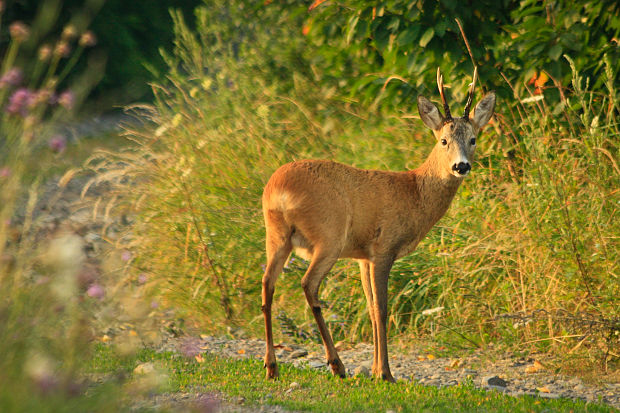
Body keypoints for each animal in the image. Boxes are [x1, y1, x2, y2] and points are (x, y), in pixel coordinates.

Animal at [260, 67, 496, 380]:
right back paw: (336, 365)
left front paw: (374, 369)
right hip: (329, 234)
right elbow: (383, 309)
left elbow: (371, 307)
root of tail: (279, 191)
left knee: (267, 283)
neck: (414, 192)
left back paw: (271, 366)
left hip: (276, 235)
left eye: (473, 139)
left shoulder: (364, 256)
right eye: (443, 140)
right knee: (308, 284)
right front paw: (385, 373)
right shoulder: (384, 247)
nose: (461, 166)